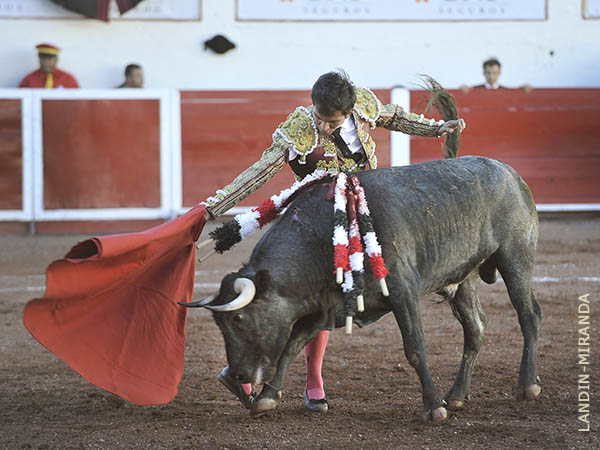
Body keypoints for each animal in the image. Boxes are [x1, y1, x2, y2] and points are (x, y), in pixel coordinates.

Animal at [183, 156, 544, 422]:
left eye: (239, 319)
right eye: (219, 324)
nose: (235, 375)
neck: (321, 237)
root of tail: (510, 172)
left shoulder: (402, 292)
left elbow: (415, 348)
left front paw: (432, 407)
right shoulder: (325, 306)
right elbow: (292, 345)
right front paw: (267, 397)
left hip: (515, 257)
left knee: (528, 315)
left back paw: (527, 385)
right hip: (464, 278)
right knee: (476, 327)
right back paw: (456, 396)